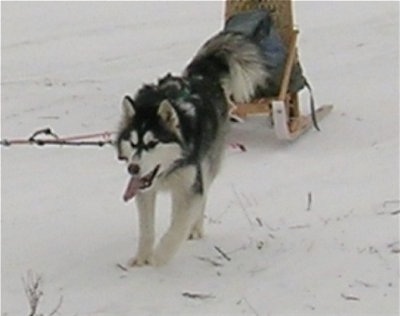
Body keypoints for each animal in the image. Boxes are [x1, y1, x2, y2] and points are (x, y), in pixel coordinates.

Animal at [115, 30, 270, 266]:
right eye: (133, 143)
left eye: (152, 143)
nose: (132, 168)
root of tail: (200, 76)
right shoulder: (144, 190)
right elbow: (147, 230)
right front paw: (142, 258)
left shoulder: (191, 185)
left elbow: (178, 227)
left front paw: (160, 256)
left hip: (206, 166)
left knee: (199, 200)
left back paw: (194, 228)